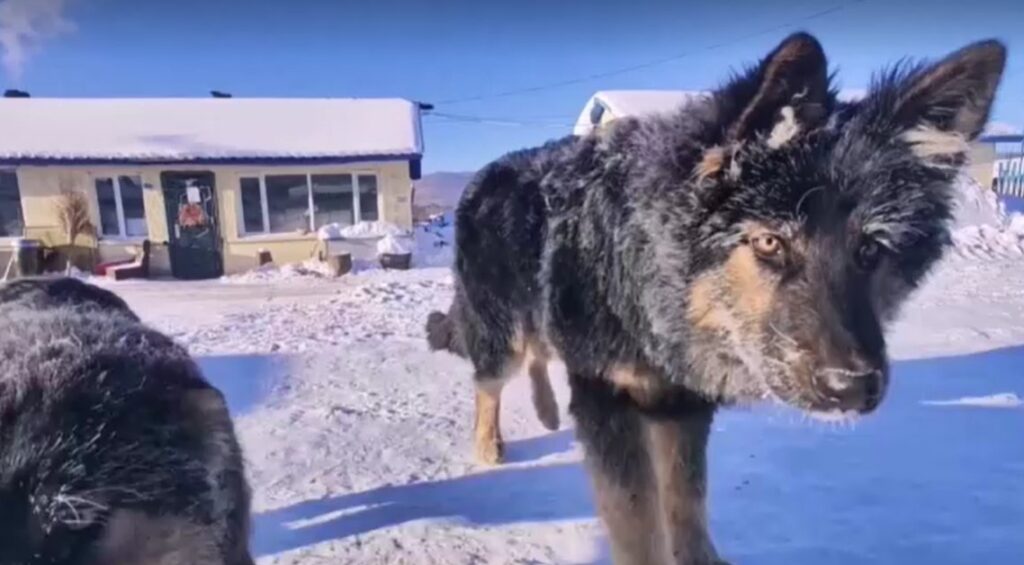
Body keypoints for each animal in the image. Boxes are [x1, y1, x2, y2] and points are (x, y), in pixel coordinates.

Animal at [425, 33, 1007, 560]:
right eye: (770, 242)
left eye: (870, 249)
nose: (853, 387)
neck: (646, 284)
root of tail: (484, 174)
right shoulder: (608, 399)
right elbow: (637, 521)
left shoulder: (681, 404)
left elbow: (686, 502)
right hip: (502, 329)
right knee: (491, 378)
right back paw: (489, 445)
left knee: (538, 354)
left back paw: (546, 412)